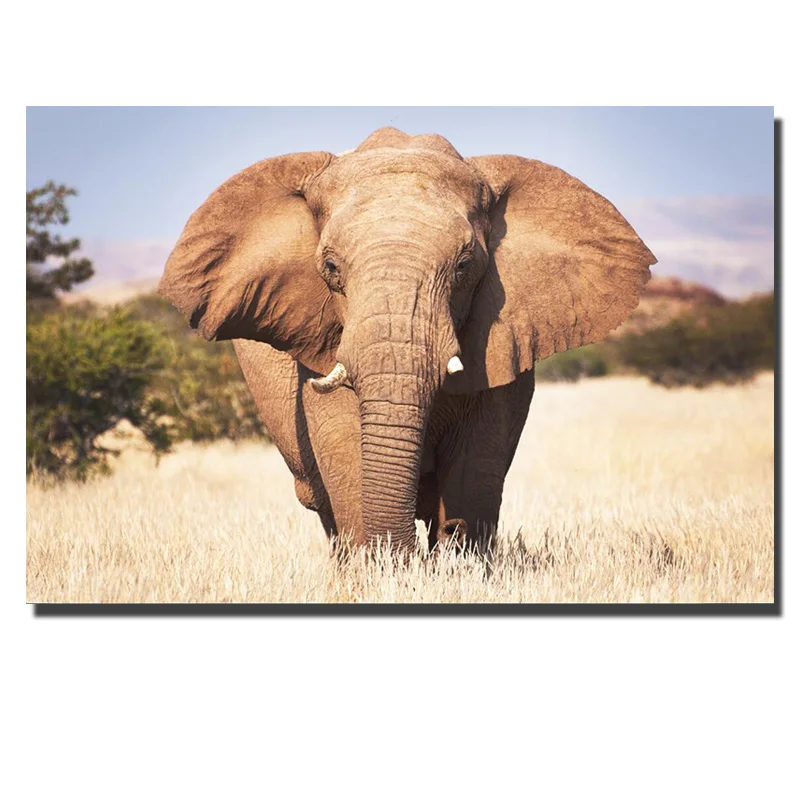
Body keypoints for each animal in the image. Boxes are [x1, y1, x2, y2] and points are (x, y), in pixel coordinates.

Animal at [158, 127, 656, 555]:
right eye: (331, 268)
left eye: (464, 266)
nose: (410, 551)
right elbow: (345, 448)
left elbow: (477, 465)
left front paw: (457, 558)